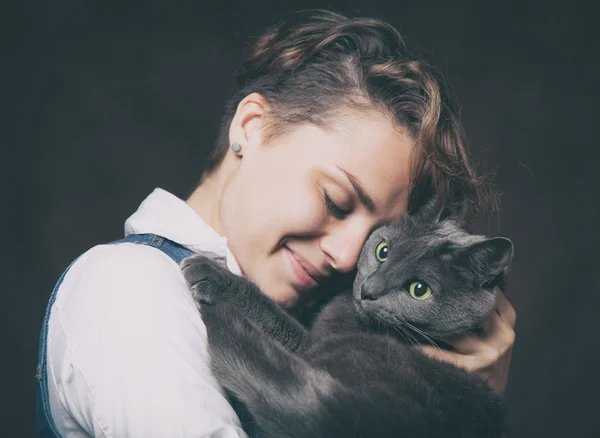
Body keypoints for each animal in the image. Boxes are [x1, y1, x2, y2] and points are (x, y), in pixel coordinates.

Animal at [180, 202, 512, 438]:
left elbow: (274, 317)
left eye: (419, 290)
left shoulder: (307, 342)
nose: (369, 289)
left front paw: (214, 277)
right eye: (383, 251)